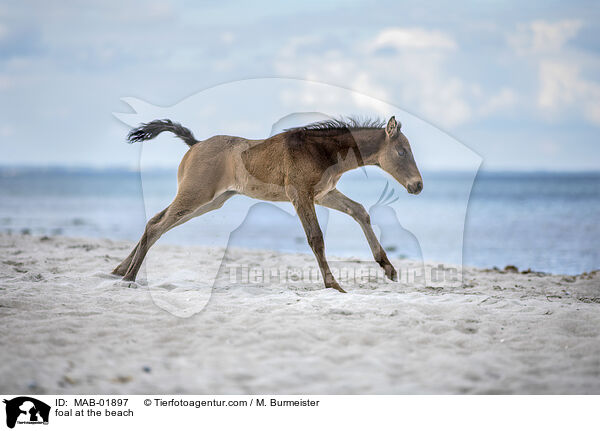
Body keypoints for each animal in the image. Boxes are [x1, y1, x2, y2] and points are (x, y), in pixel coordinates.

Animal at [112, 116, 422, 294]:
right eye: (401, 151)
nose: (417, 185)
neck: (321, 151)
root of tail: (195, 144)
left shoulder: (323, 194)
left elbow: (360, 211)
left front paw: (388, 268)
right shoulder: (300, 195)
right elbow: (316, 238)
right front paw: (333, 285)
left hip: (208, 202)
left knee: (156, 221)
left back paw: (119, 269)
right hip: (196, 196)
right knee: (157, 226)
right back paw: (128, 277)